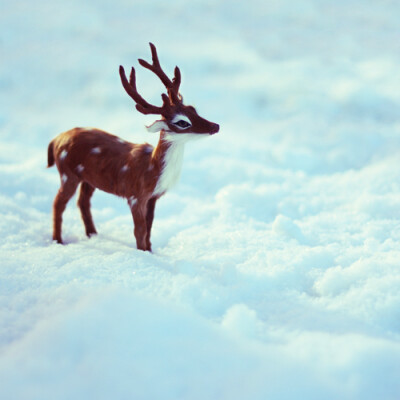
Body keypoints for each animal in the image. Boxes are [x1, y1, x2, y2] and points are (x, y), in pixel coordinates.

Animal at [49, 43, 222, 250]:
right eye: (182, 122)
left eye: (193, 109)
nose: (216, 126)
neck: (152, 168)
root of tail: (56, 139)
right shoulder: (135, 195)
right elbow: (139, 230)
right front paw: (142, 252)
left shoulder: (153, 197)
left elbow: (150, 227)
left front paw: (150, 251)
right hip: (67, 173)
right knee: (58, 202)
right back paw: (58, 241)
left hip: (88, 178)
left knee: (83, 201)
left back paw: (92, 234)